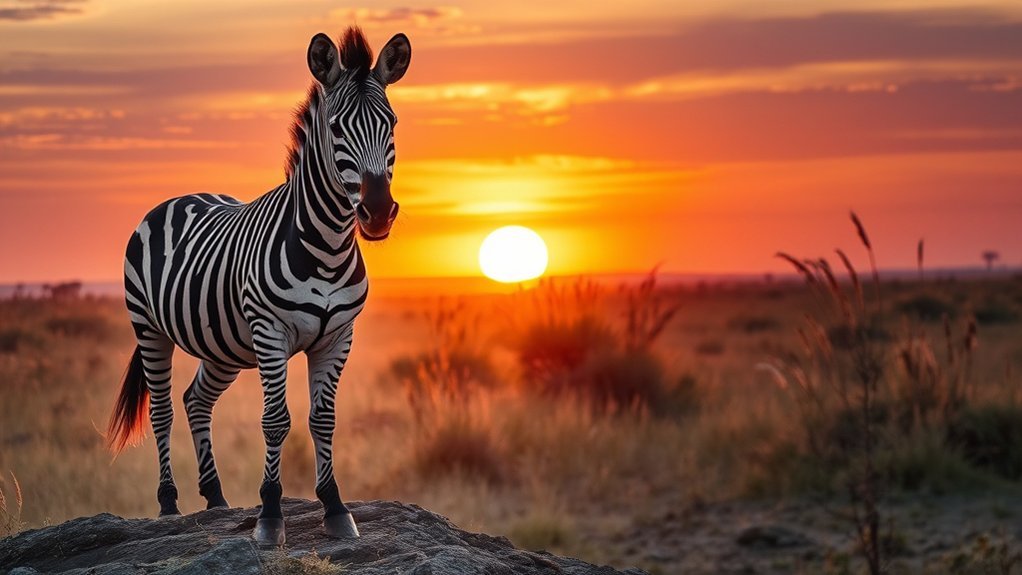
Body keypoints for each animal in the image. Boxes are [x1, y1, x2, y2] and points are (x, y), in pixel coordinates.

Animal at [106, 27, 411, 546]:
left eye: (390, 123)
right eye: (336, 129)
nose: (376, 213)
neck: (327, 247)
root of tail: (180, 197)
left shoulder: (338, 336)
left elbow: (322, 420)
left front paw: (335, 508)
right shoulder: (271, 332)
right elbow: (275, 422)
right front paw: (270, 514)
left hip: (222, 346)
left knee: (196, 401)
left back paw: (216, 499)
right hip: (149, 328)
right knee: (163, 409)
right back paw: (168, 505)